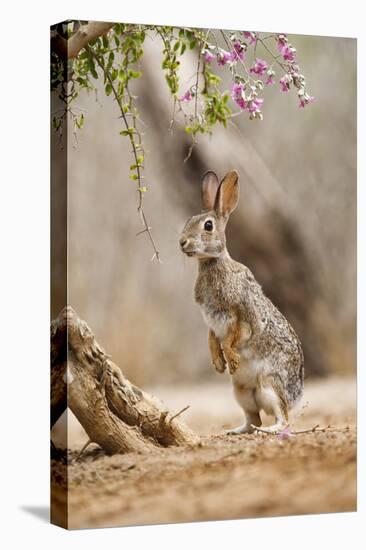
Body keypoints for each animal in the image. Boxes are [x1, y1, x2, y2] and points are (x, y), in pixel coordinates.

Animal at [179, 170, 304, 434]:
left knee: (282, 418)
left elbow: (233, 337)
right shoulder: (210, 320)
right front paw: (218, 363)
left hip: (269, 384)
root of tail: (297, 395)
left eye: (208, 225)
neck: (212, 262)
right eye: (189, 220)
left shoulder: (241, 316)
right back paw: (234, 430)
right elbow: (212, 338)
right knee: (252, 420)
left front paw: (231, 358)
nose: (182, 242)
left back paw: (270, 430)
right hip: (241, 392)